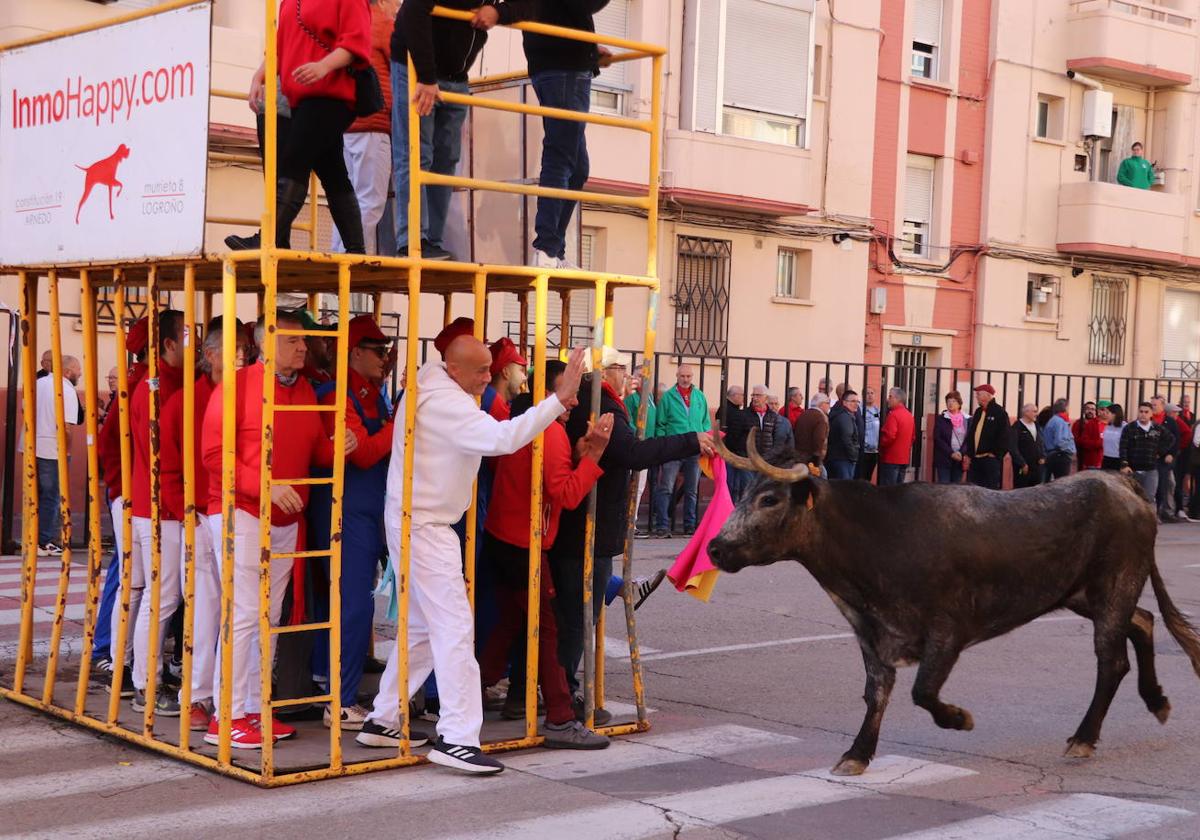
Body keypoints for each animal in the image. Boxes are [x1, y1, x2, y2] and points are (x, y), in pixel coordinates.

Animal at [705, 429, 1200, 777]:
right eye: (744, 494)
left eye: (769, 499)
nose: (714, 549)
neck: (878, 537)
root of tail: (1122, 482)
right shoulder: (873, 636)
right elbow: (876, 694)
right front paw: (857, 754)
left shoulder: (947, 632)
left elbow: (922, 691)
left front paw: (960, 719)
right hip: (1087, 595)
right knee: (1144, 622)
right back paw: (1156, 701)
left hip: (1115, 588)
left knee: (1112, 660)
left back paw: (1084, 737)